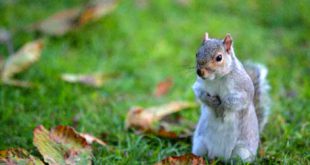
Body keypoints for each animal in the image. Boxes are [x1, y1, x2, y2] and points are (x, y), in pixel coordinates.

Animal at [193, 32, 270, 162]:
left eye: (219, 58)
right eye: (197, 53)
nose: (200, 72)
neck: (218, 78)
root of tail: (219, 156)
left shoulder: (243, 90)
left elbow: (236, 100)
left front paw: (222, 107)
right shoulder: (200, 85)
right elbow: (200, 93)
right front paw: (211, 101)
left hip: (242, 152)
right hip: (200, 144)